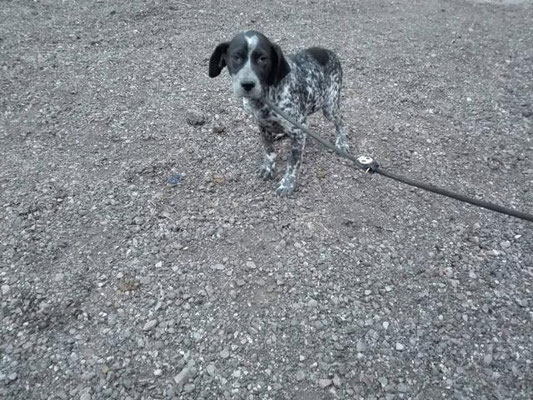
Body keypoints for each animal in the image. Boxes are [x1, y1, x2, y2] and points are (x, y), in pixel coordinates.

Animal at [208, 29, 350, 195]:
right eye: (236, 57)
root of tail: (329, 52)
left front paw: (287, 184)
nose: (247, 84)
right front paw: (268, 167)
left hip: (329, 106)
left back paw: (342, 142)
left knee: (340, 121)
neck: (265, 98)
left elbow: (293, 163)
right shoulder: (261, 124)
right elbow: (268, 150)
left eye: (263, 59)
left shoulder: (298, 130)